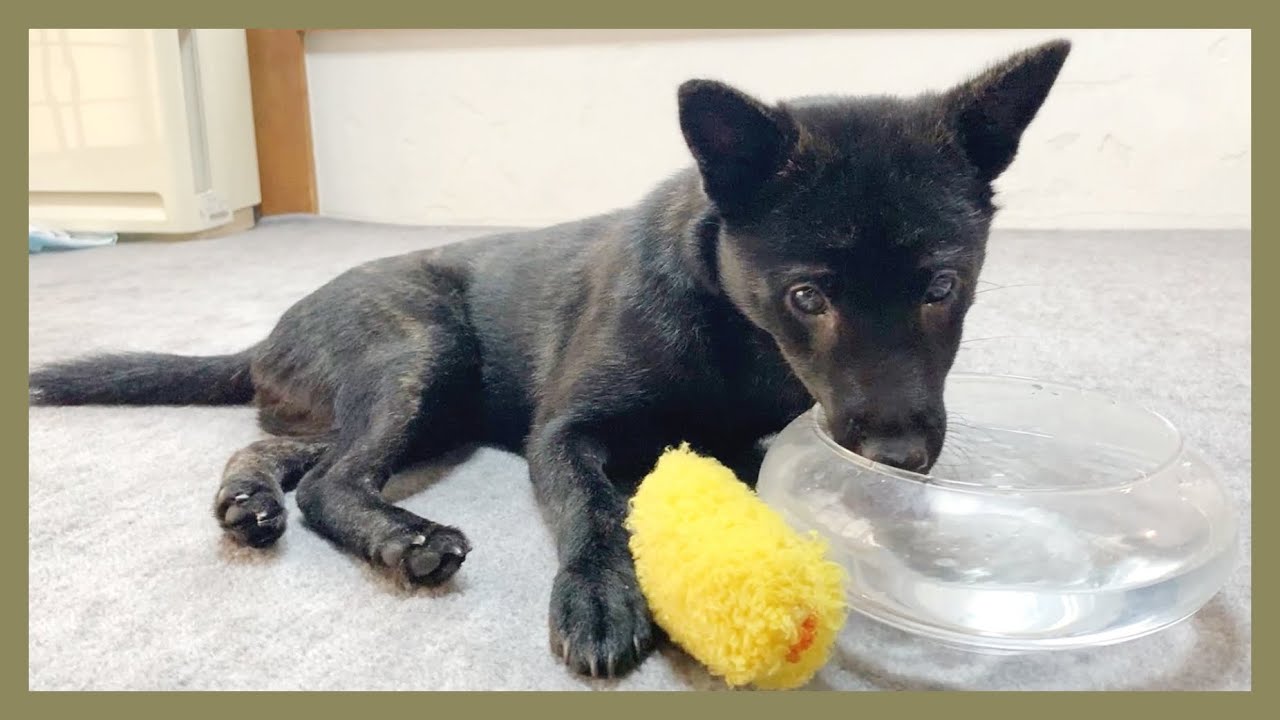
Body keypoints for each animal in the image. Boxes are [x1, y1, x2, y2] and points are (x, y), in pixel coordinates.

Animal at [29, 39, 1071, 679]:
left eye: (942, 285)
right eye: (809, 297)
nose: (901, 459)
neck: (731, 327)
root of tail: (270, 333)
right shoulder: (565, 433)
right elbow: (597, 510)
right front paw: (602, 597)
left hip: (414, 404)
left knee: (289, 454)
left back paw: (247, 500)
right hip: (421, 352)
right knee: (330, 481)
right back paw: (403, 538)